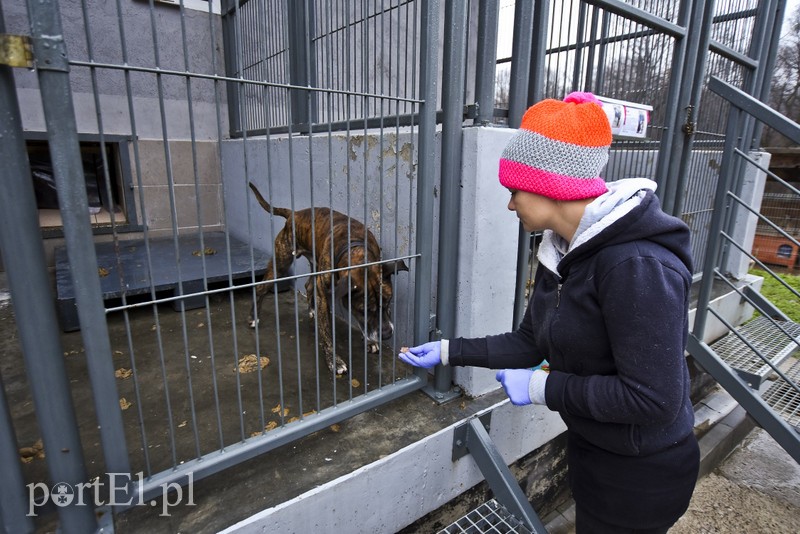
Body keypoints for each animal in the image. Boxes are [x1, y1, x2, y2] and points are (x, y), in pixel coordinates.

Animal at [247, 182, 406, 374]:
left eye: (388, 302)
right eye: (363, 310)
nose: (387, 334)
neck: (355, 249)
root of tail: (294, 214)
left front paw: (369, 341)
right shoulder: (324, 293)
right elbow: (327, 332)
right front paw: (334, 360)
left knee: (308, 285)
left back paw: (312, 309)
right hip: (281, 263)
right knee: (261, 287)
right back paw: (254, 317)